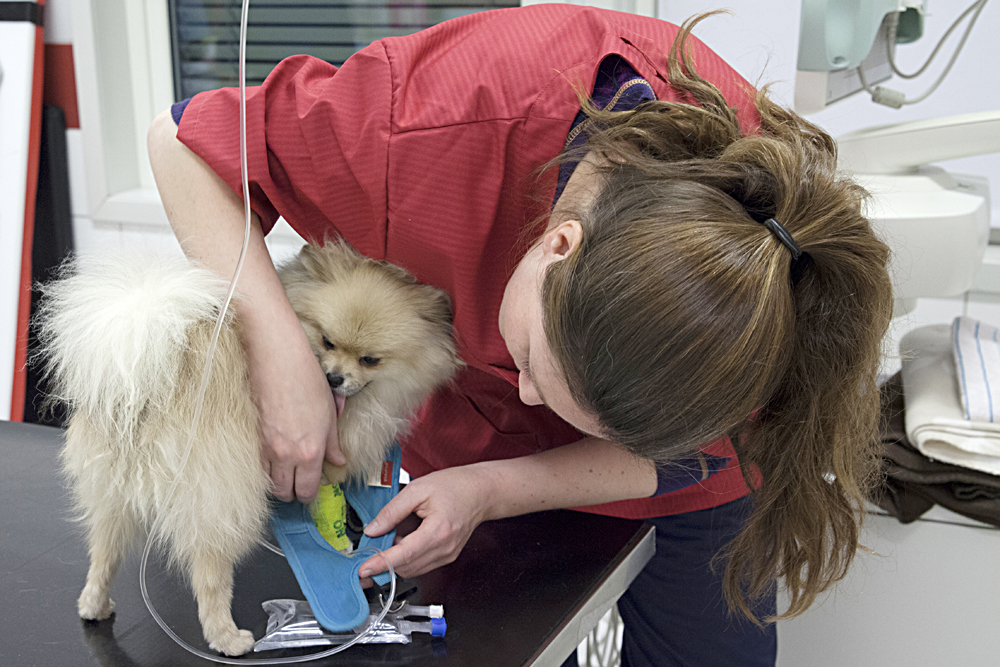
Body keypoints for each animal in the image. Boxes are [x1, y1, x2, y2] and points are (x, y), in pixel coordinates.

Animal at [37, 241, 460, 656]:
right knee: (209, 577)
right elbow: (329, 508)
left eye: (370, 359)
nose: (334, 378)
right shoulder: (320, 463)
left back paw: (94, 605)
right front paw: (341, 551)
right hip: (220, 499)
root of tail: (148, 385)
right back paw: (228, 639)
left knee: (103, 555)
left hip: (111, 492)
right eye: (327, 341)